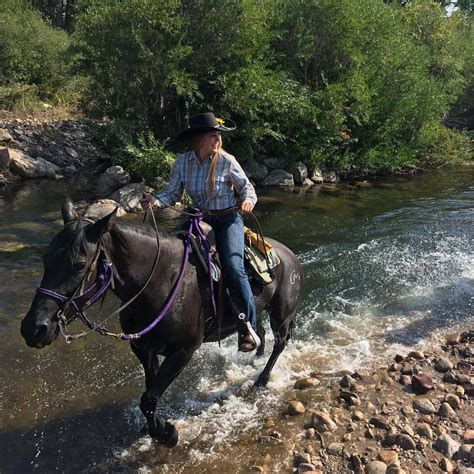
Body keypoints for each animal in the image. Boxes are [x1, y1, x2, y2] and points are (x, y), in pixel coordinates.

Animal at [20, 200, 304, 448]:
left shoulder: (183, 352)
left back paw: (262, 380)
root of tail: (290, 256)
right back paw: (255, 356)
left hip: (281, 315)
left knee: (280, 343)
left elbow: (148, 398)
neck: (158, 282)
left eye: (80, 264)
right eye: (45, 258)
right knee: (260, 332)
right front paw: (153, 427)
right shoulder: (144, 349)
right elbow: (149, 393)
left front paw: (167, 434)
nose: (34, 329)